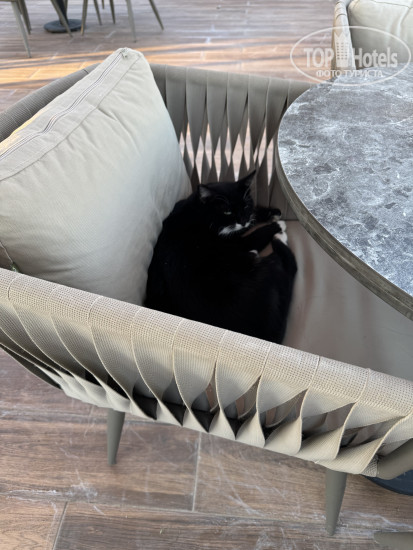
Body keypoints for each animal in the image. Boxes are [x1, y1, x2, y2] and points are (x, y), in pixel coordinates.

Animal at [144, 172, 297, 344]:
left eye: (245, 206)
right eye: (227, 211)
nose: (242, 220)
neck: (198, 212)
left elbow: (250, 220)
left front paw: (271, 213)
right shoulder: (235, 242)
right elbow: (255, 235)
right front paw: (276, 225)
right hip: (265, 270)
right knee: (290, 264)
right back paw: (277, 238)